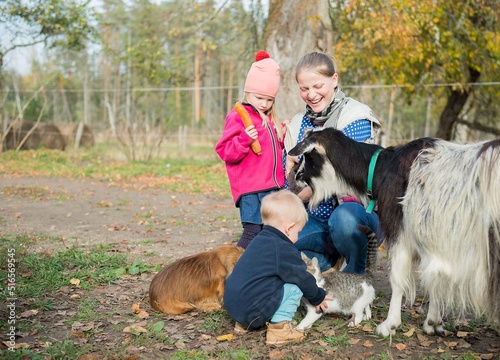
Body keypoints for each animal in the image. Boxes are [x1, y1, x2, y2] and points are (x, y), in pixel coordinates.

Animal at [290, 128, 500, 336]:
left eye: (307, 156)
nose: (294, 177)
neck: (381, 168)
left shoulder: (400, 231)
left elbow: (397, 278)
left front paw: (389, 324)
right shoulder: (433, 240)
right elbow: (435, 279)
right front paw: (433, 323)